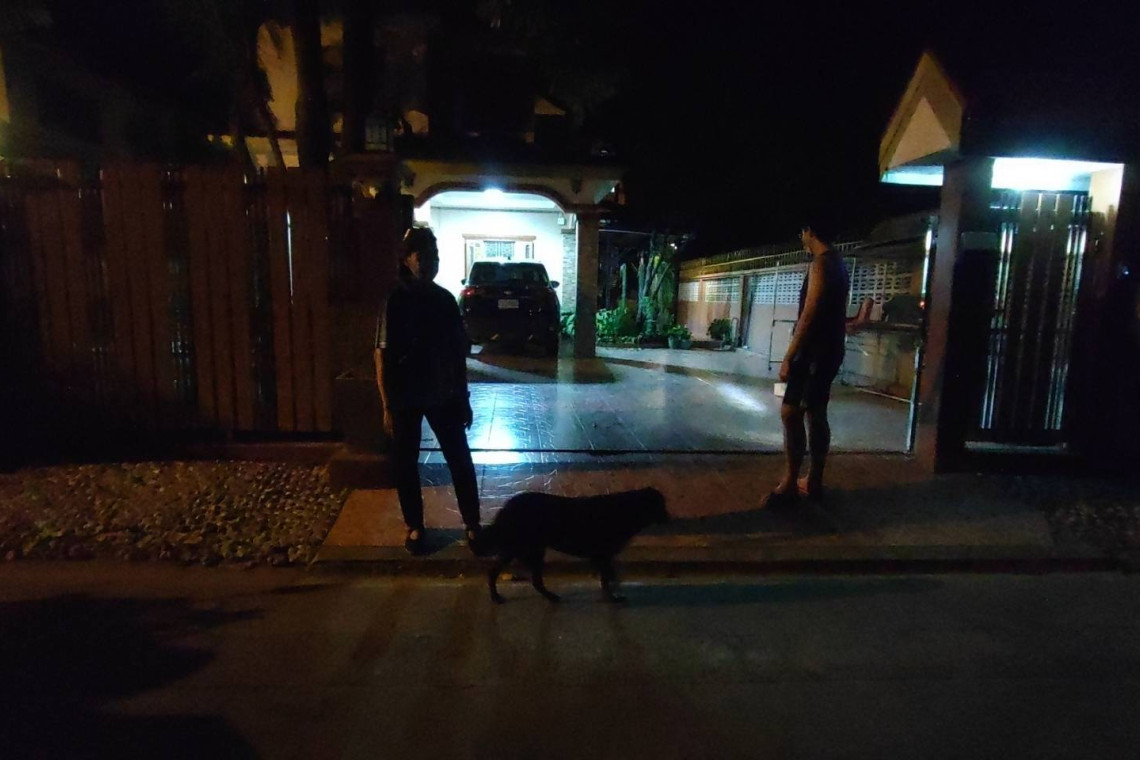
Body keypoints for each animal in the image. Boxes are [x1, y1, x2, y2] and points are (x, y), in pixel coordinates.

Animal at [478, 487, 670, 603]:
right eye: (661, 505)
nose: (668, 518)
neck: (626, 509)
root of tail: (507, 507)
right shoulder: (602, 556)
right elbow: (607, 579)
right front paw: (612, 597)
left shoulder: (602, 557)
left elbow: (609, 577)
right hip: (527, 550)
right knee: (522, 578)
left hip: (522, 549)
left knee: (510, 575)